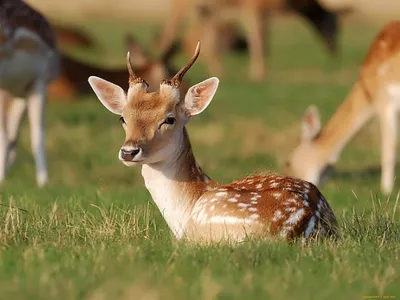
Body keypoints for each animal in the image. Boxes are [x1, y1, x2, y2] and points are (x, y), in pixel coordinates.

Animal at [158, 0, 340, 81]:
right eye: (334, 27)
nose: (334, 50)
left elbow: (263, 42)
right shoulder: (253, 9)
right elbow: (258, 41)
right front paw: (258, 73)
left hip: (205, 9)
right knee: (169, 31)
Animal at [284, 21, 400, 197]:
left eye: (288, 162)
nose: (291, 184)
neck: (367, 92)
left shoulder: (384, 100)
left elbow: (388, 149)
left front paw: (386, 191)